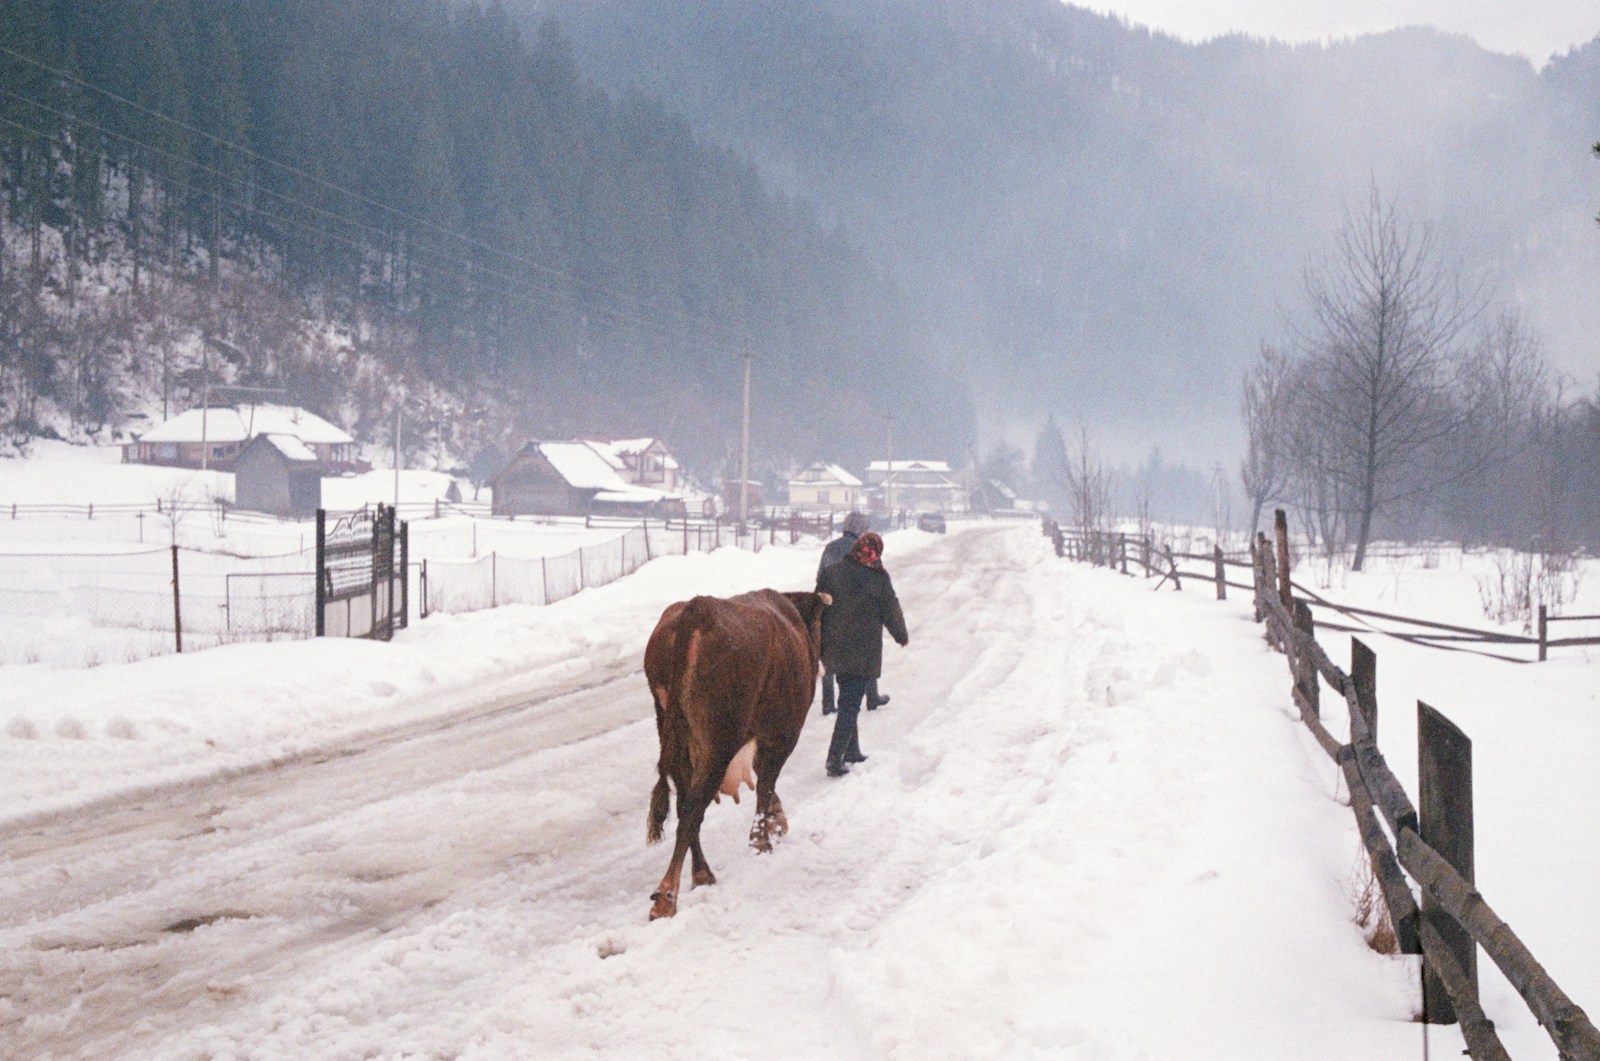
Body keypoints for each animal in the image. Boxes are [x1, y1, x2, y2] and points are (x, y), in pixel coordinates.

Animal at [643, 588, 832, 921]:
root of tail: (697, 611)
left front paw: (775, 823)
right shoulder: (781, 735)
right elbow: (766, 782)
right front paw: (762, 840)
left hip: (677, 738)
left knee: (684, 804)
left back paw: (702, 874)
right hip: (719, 743)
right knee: (692, 808)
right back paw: (667, 896)